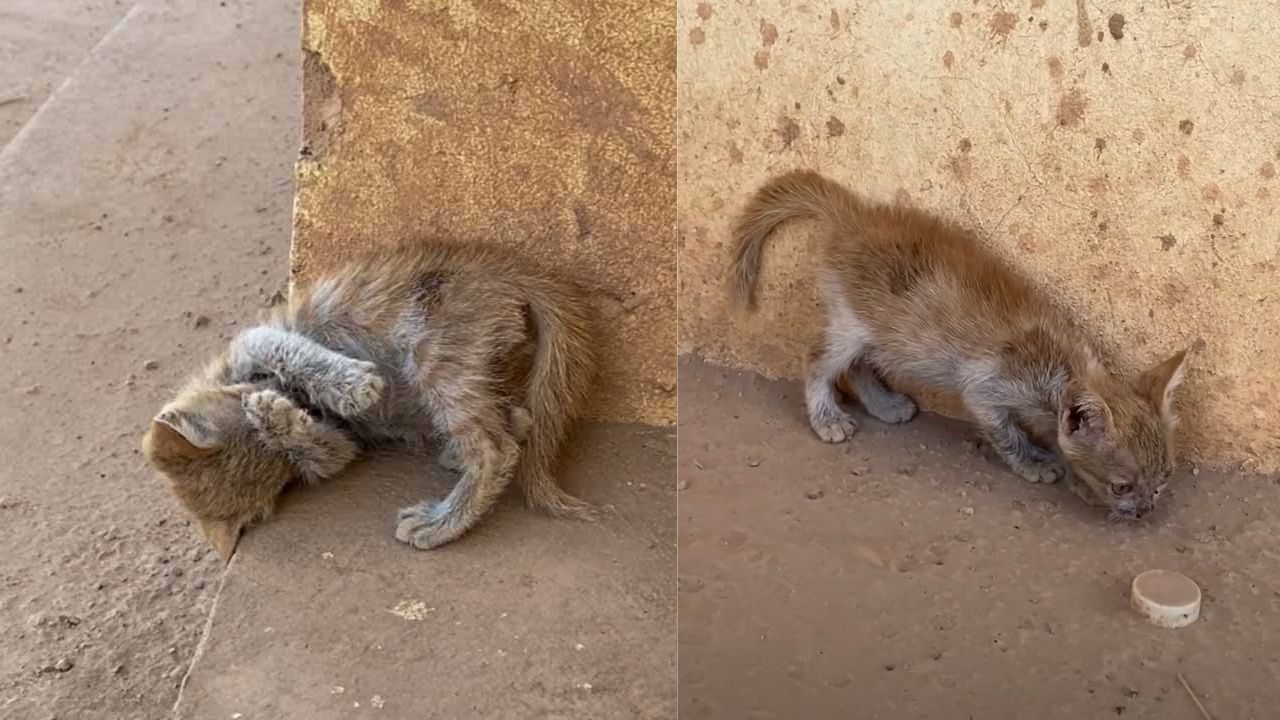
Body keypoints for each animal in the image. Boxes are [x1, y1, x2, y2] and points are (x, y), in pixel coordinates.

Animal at [144, 238, 593, 558]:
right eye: (278, 463)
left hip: (434, 353)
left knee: (495, 449)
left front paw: (349, 385)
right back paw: (462, 455)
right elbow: (326, 452)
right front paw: (282, 421)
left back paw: (441, 521)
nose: (301, 408)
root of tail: (507, 272)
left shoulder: (255, 340)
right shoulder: (342, 443)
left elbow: (285, 349)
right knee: (513, 424)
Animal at [732, 170, 1187, 517]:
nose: (1145, 510)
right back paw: (827, 418)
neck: (1060, 366)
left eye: (1164, 479)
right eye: (1120, 486)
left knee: (857, 365)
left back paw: (886, 405)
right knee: (817, 360)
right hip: (853, 322)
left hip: (885, 332)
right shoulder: (984, 388)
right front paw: (1035, 463)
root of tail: (855, 217)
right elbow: (1006, 432)